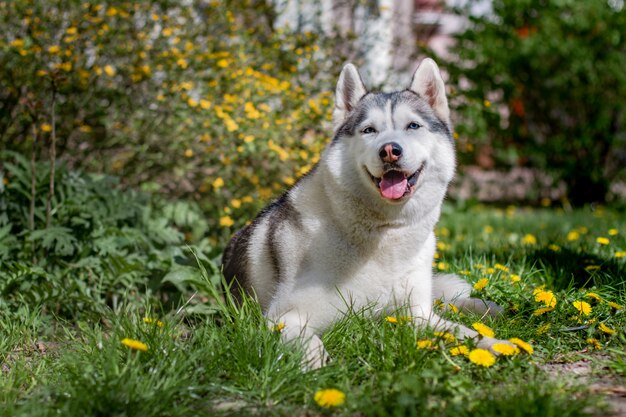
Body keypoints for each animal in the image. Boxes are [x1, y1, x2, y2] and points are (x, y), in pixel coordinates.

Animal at [222, 58, 510, 368]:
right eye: (369, 130)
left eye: (413, 126)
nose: (390, 150)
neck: (385, 233)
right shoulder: (284, 316)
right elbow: (308, 341)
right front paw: (313, 366)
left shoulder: (418, 316)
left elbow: (463, 332)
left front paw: (496, 344)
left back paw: (482, 307)